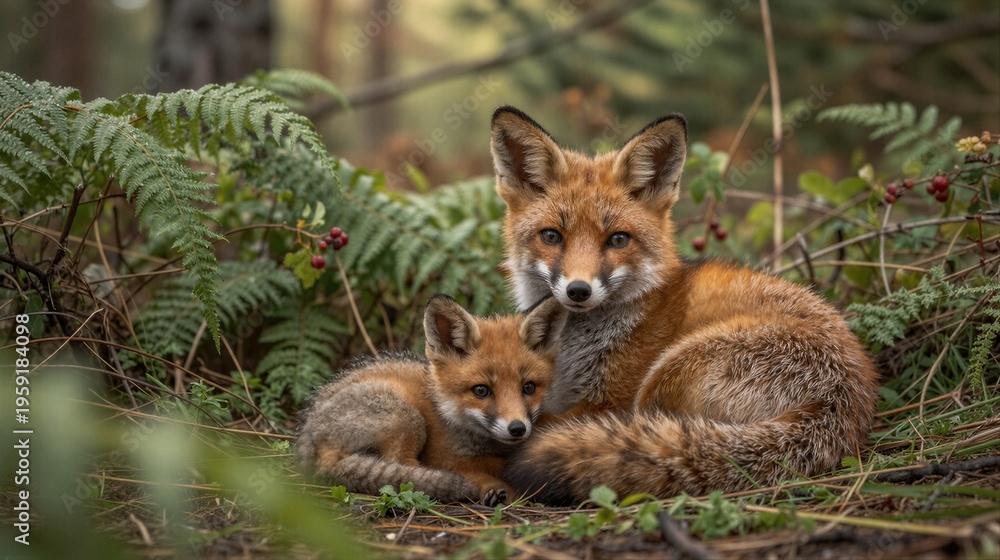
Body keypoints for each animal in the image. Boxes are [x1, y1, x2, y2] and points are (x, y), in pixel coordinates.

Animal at [295, 294, 566, 505]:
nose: (517, 428)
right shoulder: (445, 455)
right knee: (404, 470)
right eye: (481, 390)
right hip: (407, 418)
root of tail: (308, 440)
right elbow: (485, 464)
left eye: (529, 388)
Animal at [489, 106, 880, 504]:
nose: (578, 291)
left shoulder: (609, 401)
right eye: (552, 236)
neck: (572, 350)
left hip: (667, 373)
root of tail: (839, 404)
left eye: (618, 239)